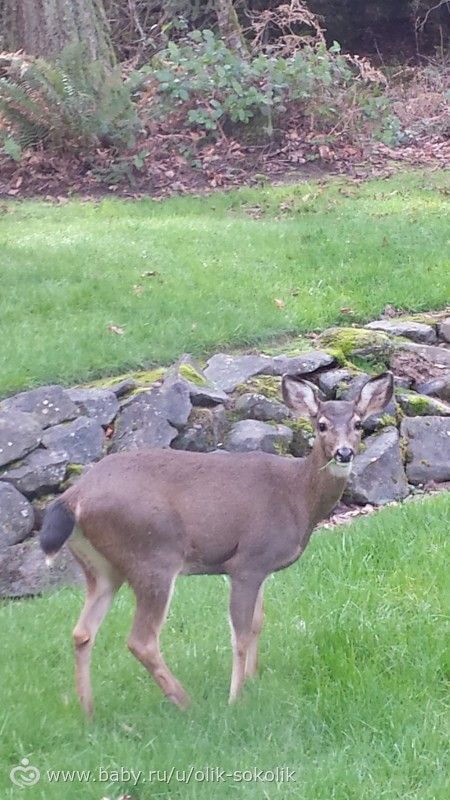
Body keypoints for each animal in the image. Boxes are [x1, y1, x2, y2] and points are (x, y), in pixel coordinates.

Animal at [40, 372, 392, 716]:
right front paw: (236, 698)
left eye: (358, 424)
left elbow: (257, 623)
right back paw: (186, 703)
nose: (343, 452)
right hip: (152, 555)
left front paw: (253, 679)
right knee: (141, 640)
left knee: (82, 632)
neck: (297, 497)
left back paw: (89, 712)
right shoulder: (247, 560)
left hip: (100, 567)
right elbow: (240, 633)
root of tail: (73, 498)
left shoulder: (260, 567)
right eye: (321, 424)